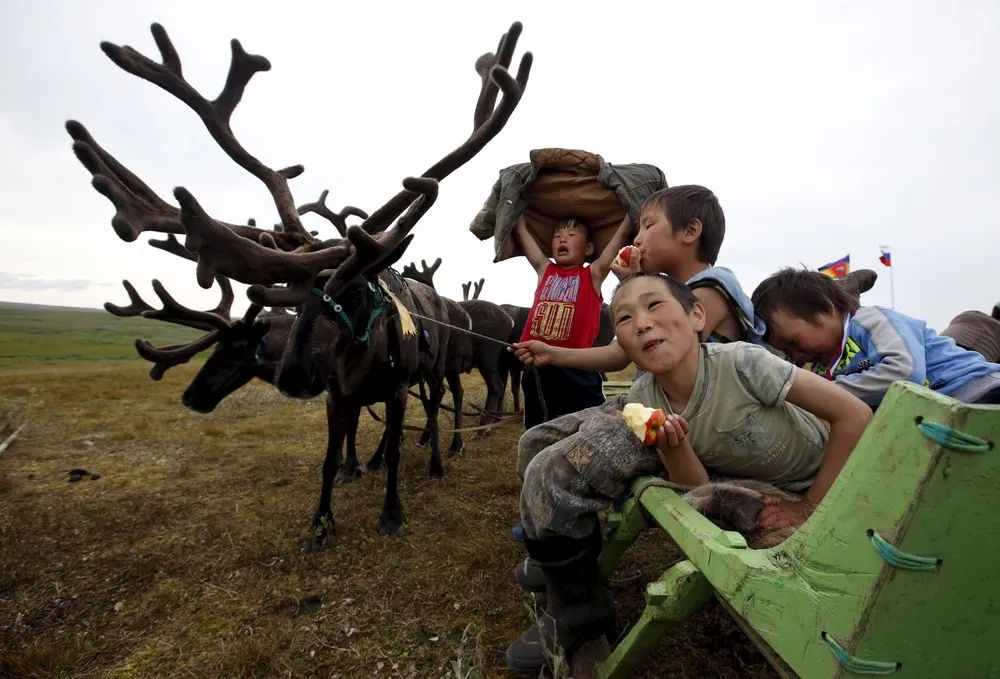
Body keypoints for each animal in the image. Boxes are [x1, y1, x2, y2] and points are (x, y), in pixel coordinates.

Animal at [70, 20, 532, 538]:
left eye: (355, 291)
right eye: (294, 299)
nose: (291, 374)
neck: (358, 359)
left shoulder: (395, 388)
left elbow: (395, 446)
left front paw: (391, 513)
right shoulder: (338, 395)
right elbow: (333, 457)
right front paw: (323, 518)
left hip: (442, 369)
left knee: (440, 408)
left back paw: (443, 452)